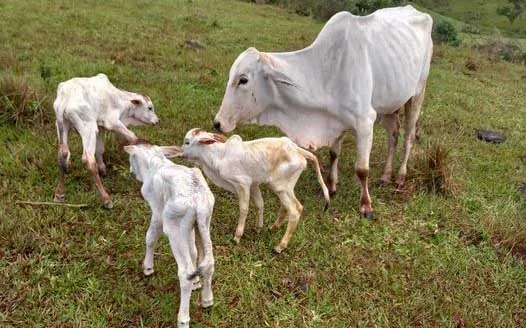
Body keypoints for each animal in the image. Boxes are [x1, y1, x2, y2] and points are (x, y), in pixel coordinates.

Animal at [55, 73, 161, 209]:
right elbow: (133, 137)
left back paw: (59, 194)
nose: (157, 121)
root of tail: (65, 96)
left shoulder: (100, 127)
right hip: (88, 127)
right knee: (88, 160)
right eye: (150, 108)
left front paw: (102, 169)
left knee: (62, 155)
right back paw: (106, 199)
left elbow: (100, 150)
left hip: (62, 125)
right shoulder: (111, 122)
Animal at [125, 144, 216, 328]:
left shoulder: (157, 212)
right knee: (207, 261)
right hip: (203, 222)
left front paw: (147, 268)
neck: (156, 162)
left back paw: (183, 319)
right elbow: (193, 251)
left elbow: (150, 237)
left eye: (131, 158)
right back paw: (207, 300)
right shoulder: (189, 227)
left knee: (185, 271)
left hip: (174, 226)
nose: (131, 170)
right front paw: (197, 283)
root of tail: (197, 199)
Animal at [165, 128, 330, 254]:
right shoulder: (254, 184)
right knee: (286, 207)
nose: (179, 151)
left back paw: (279, 247)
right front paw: (258, 228)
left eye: (187, 142)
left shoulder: (242, 184)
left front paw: (237, 237)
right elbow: (259, 204)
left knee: (295, 210)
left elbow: (244, 209)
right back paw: (273, 227)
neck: (219, 157)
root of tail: (298, 150)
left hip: (279, 187)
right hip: (285, 188)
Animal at [212, 5, 436, 218]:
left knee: (408, 138)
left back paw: (399, 178)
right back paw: (385, 176)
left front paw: (366, 206)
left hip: (417, 94)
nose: (218, 123)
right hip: (391, 105)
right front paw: (332, 185)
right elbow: (334, 154)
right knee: (393, 136)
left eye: (243, 80)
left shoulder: (365, 122)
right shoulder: (336, 121)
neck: (327, 72)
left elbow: (362, 170)